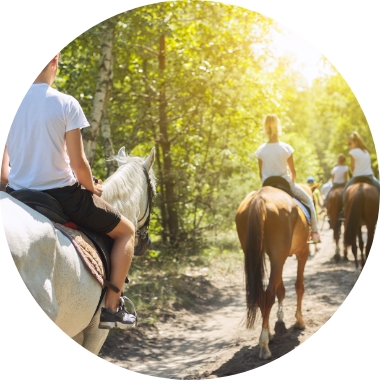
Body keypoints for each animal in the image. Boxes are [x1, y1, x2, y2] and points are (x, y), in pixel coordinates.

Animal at [235, 186, 312, 358]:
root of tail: (259, 198)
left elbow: (281, 289)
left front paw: (280, 321)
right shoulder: (302, 253)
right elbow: (299, 286)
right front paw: (299, 321)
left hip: (257, 254)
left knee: (261, 295)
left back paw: (268, 334)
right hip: (279, 256)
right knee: (268, 294)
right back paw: (264, 345)